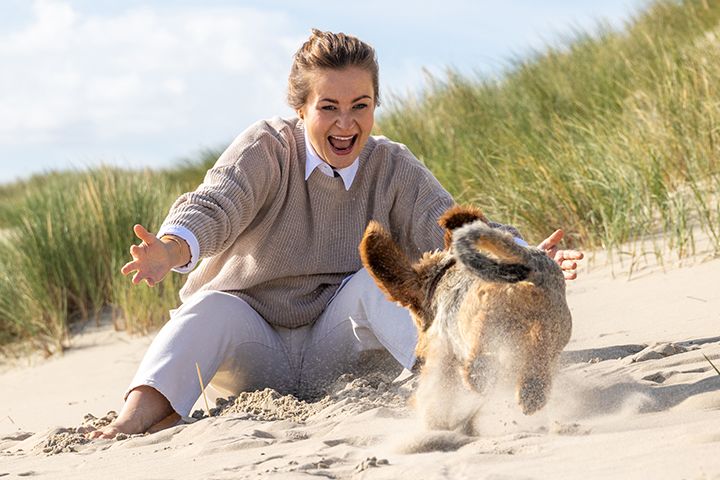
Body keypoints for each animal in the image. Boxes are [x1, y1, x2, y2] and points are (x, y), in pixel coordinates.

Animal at [360, 204, 572, 434]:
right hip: (552, 327)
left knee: (480, 364)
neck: (442, 276)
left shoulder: (442, 354)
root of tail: (530, 263)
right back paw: (531, 395)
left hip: (484, 323)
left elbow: (436, 395)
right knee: (538, 357)